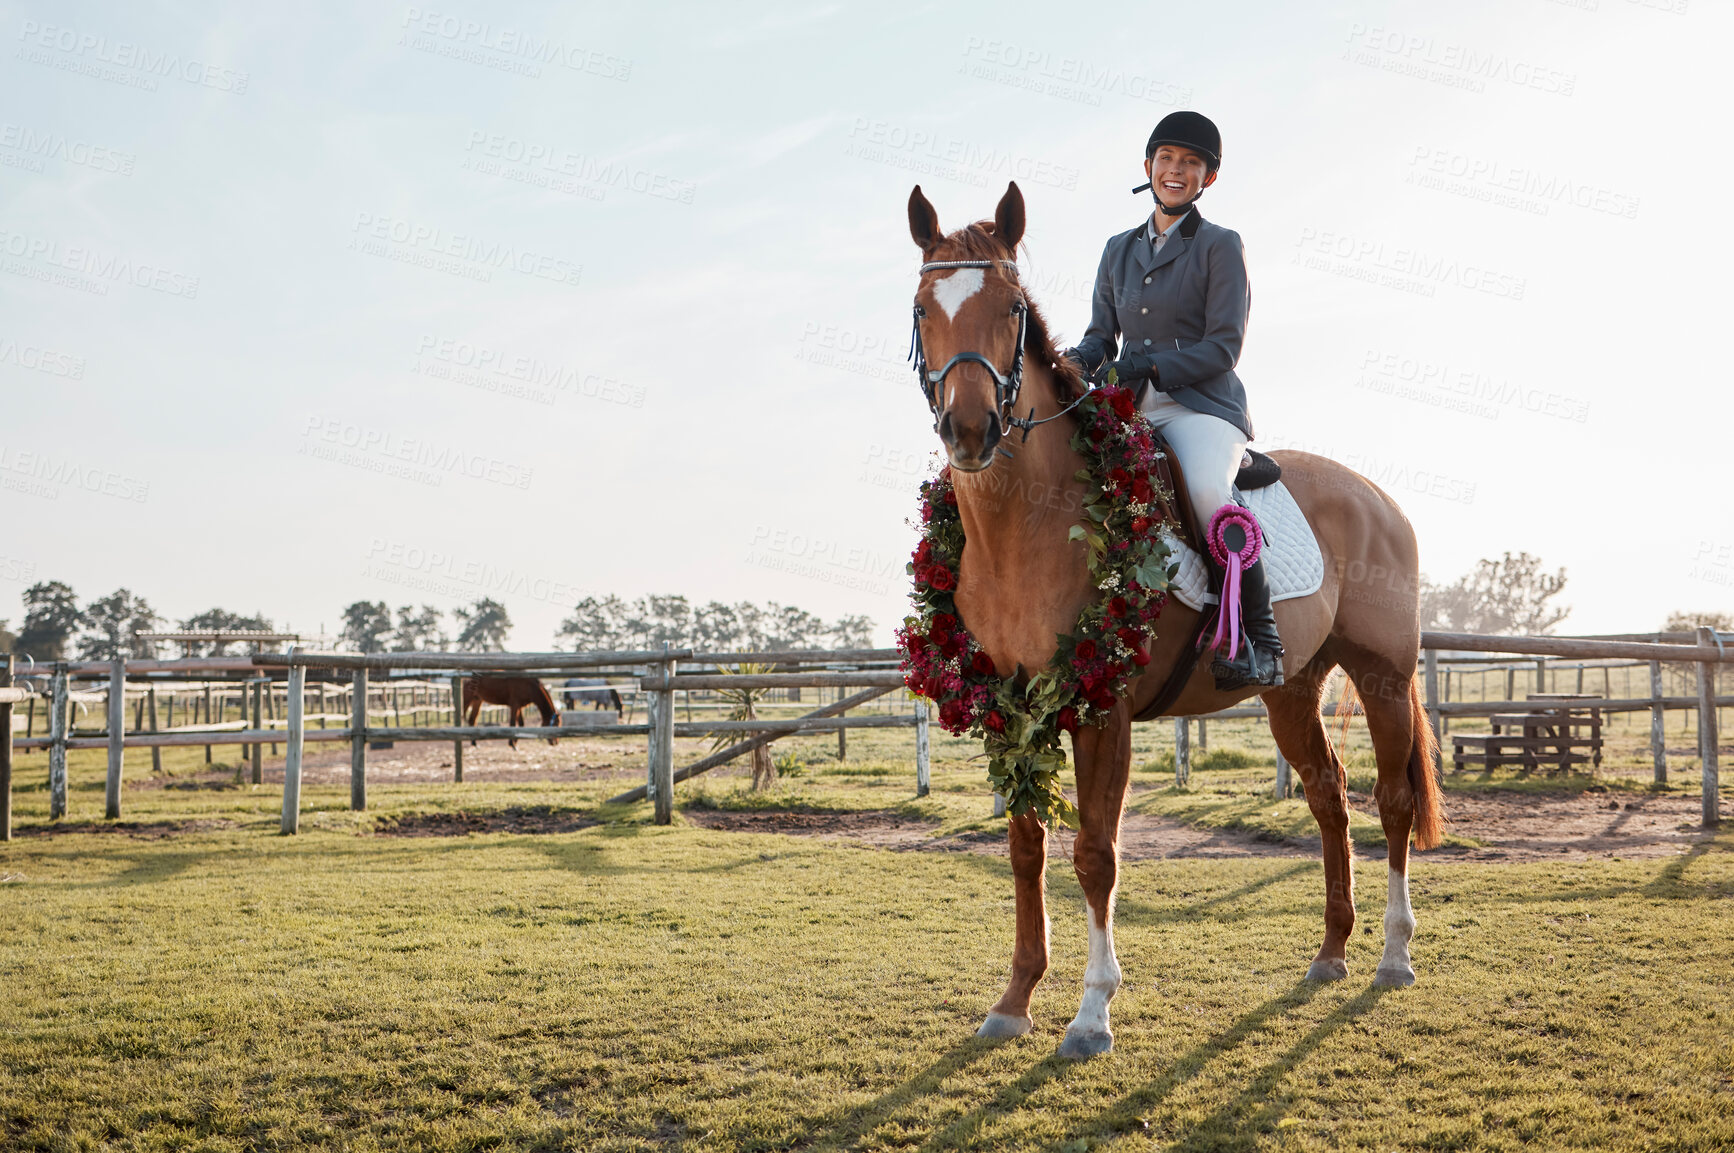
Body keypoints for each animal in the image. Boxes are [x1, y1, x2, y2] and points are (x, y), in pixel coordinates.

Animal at [908, 182, 1449, 1061]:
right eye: (925, 309)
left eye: (1013, 308)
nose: (970, 431)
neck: (1031, 522)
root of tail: (1376, 495)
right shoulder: (1011, 708)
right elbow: (1025, 846)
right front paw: (1015, 999)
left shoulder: (1105, 712)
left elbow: (1096, 853)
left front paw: (1092, 1013)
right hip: (1291, 686)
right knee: (1328, 794)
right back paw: (1331, 951)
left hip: (1383, 674)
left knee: (1393, 802)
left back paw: (1393, 957)